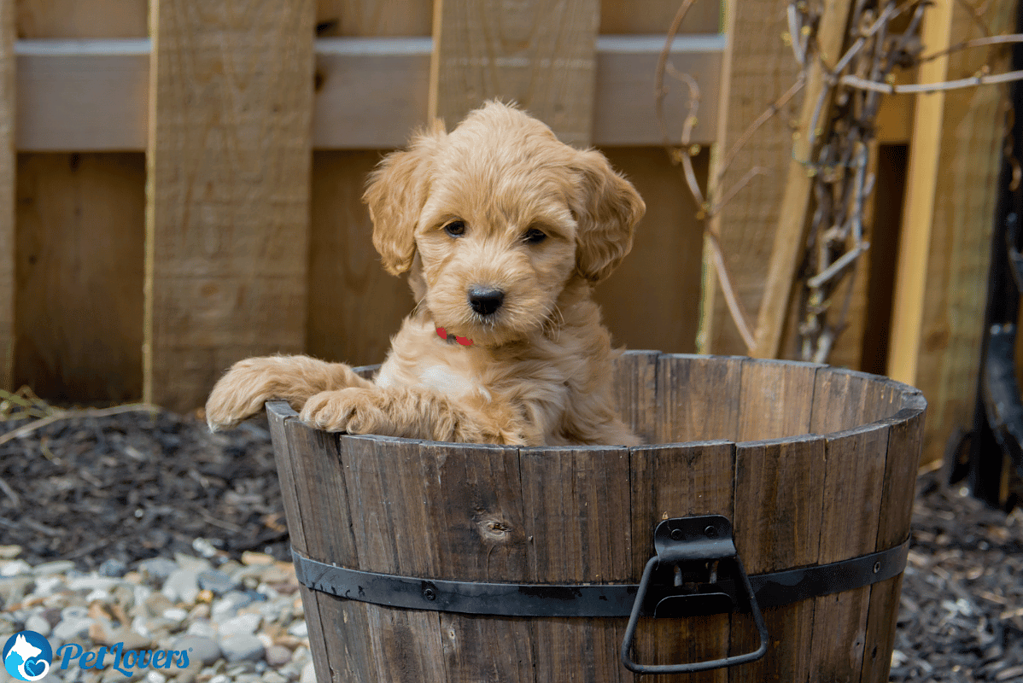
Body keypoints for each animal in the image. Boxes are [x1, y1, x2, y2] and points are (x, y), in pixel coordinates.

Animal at [203, 98, 642, 445]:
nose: (485, 299)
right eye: (454, 227)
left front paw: (355, 402)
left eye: (536, 234)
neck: (467, 348)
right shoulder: (404, 376)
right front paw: (247, 378)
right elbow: (334, 373)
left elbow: (431, 401)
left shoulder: (514, 425)